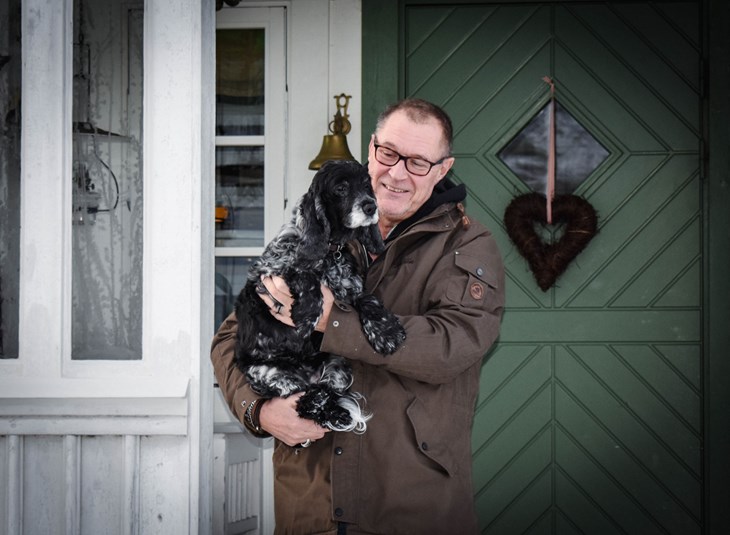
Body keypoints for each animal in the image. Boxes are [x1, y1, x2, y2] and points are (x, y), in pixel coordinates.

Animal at [233, 159, 404, 436]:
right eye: (341, 188)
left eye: (367, 186)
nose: (371, 206)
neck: (331, 252)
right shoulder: (268, 272)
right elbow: (303, 273)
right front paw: (307, 315)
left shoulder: (350, 288)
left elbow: (368, 301)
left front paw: (386, 333)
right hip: (269, 372)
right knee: (304, 398)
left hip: (337, 364)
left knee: (322, 391)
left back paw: (337, 412)